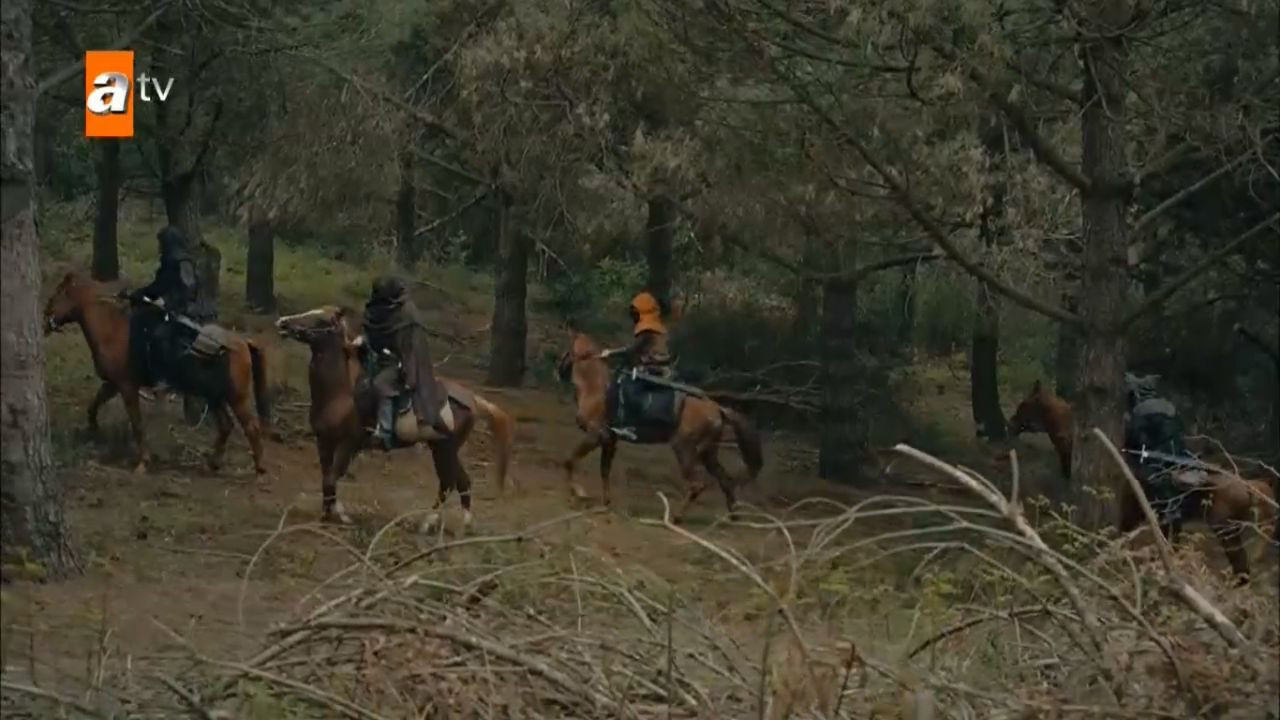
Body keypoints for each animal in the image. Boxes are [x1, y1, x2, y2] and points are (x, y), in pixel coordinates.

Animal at [44, 266, 272, 474]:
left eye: (56, 296)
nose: (45, 319)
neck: (112, 331)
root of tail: (243, 343)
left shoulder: (127, 386)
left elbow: (137, 424)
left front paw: (142, 463)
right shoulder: (114, 383)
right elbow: (95, 403)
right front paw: (92, 427)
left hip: (236, 397)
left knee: (251, 427)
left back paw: (260, 467)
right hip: (214, 397)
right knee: (226, 426)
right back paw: (213, 463)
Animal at [272, 302, 512, 527]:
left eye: (321, 320)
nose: (283, 323)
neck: (339, 396)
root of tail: (471, 398)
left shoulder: (349, 444)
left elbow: (332, 478)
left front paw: (342, 515)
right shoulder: (324, 442)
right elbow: (326, 481)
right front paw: (325, 516)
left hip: (446, 448)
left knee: (450, 483)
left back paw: (432, 522)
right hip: (442, 447)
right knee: (460, 482)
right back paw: (457, 524)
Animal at [552, 326, 757, 520]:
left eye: (566, 350)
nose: (557, 372)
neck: (594, 388)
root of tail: (717, 408)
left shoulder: (595, 435)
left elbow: (570, 461)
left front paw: (579, 493)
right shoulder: (609, 440)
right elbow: (604, 470)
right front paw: (605, 502)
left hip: (685, 449)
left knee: (697, 485)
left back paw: (676, 517)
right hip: (708, 452)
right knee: (725, 479)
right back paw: (732, 515)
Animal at [1008, 379, 1280, 579]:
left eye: (1024, 405)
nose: (1010, 426)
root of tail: (1250, 486)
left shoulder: (1130, 514)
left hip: (1226, 531)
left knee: (1242, 569)